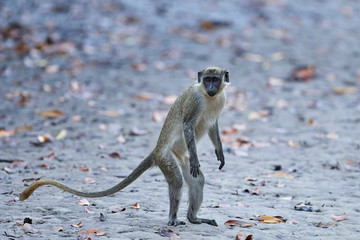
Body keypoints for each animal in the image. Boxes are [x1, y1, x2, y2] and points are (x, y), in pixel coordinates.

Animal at [20, 66, 228, 226]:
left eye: (215, 80)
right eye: (207, 80)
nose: (210, 87)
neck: (208, 97)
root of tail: (156, 150)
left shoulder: (221, 99)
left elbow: (213, 125)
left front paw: (220, 151)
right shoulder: (195, 100)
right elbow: (187, 126)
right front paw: (197, 157)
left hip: (178, 154)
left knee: (197, 180)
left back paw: (193, 218)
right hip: (165, 157)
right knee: (177, 180)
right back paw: (173, 218)